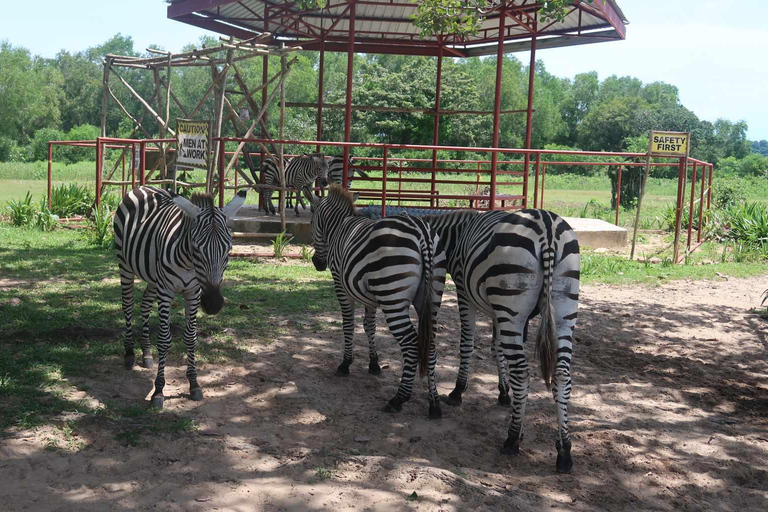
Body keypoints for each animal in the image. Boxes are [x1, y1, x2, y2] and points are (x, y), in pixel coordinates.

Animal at [112, 186, 246, 410]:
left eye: (229, 250)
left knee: (145, 305)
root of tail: (143, 186)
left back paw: (146, 353)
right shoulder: (166, 290)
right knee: (128, 305)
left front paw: (194, 384)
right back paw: (130, 353)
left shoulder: (193, 292)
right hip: (125, 264)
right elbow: (165, 339)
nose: (213, 304)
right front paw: (158, 391)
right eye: (196, 249)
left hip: (153, 277)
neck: (188, 263)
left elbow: (191, 338)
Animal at [308, 186, 448, 418]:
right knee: (430, 345)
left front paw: (345, 364)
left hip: (393, 297)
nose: (317, 264)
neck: (339, 226)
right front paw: (374, 364)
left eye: (312, 221)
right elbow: (369, 326)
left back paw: (398, 399)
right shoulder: (370, 296)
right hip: (432, 297)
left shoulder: (341, 285)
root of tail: (422, 233)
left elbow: (348, 325)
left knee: (411, 343)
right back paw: (434, 404)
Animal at [424, 208, 580, 472]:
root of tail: (547, 227)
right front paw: (504, 393)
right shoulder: (498, 310)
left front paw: (458, 391)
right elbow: (497, 348)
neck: (456, 234)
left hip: (512, 303)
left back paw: (512, 438)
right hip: (562, 310)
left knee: (522, 373)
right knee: (561, 375)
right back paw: (564, 451)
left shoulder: (464, 292)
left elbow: (467, 343)